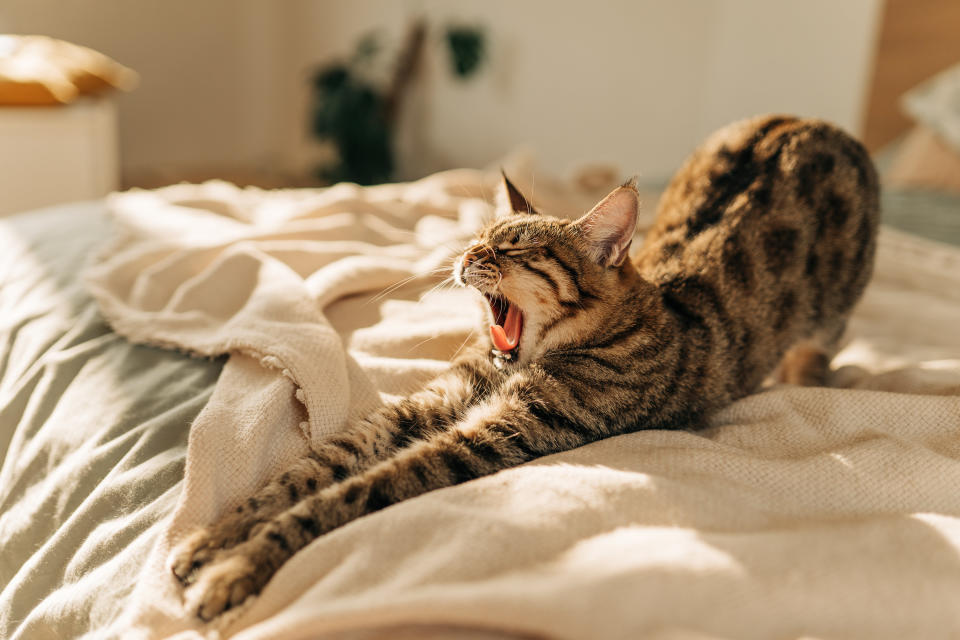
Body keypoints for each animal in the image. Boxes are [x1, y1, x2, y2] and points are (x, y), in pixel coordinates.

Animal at [171, 115, 876, 620]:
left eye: (512, 249)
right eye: (479, 235)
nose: (465, 255)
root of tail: (813, 122)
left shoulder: (503, 430)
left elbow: (350, 493)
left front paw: (237, 569)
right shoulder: (432, 404)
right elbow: (308, 471)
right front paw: (215, 539)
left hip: (833, 314)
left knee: (818, 348)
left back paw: (808, 375)